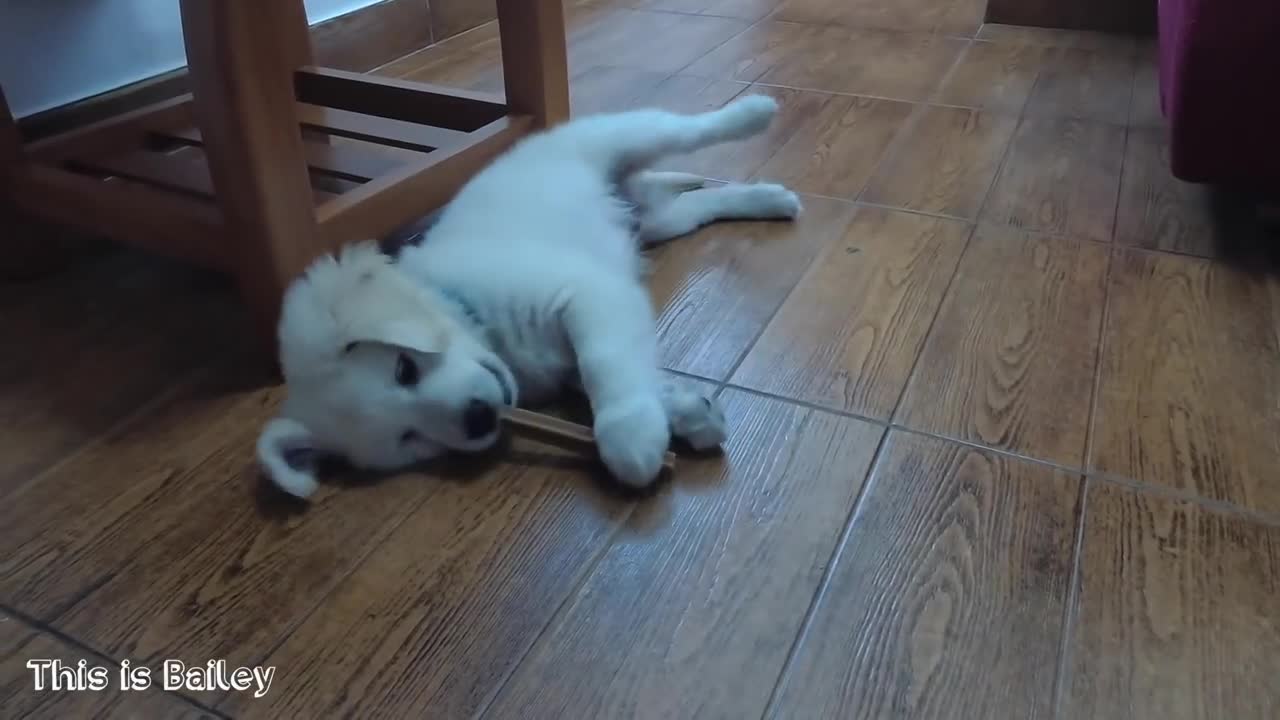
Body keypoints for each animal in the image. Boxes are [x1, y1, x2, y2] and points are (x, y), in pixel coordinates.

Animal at [254, 92, 798, 497]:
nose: (478, 419)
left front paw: (631, 438)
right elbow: (625, 371)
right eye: (409, 438)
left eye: (403, 368)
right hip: (659, 221)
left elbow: (605, 365)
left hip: (620, 137)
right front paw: (687, 412)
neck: (474, 314)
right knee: (706, 202)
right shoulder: (580, 340)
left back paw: (754, 112)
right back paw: (772, 199)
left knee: (688, 128)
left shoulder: (586, 294)